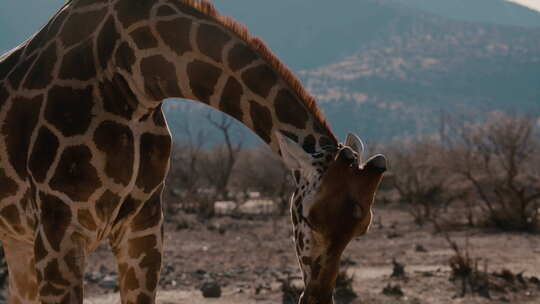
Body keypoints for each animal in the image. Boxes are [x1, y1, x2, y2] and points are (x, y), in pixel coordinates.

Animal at [0, 0, 386, 304]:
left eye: (362, 228)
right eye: (307, 217)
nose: (317, 297)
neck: (132, 80)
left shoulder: (144, 225)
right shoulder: (60, 228)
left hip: (18, 238)